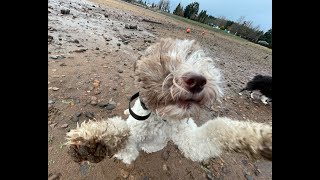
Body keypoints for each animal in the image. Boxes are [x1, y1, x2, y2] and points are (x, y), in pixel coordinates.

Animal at [66, 37, 272, 165]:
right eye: (164, 61)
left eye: (199, 58)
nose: (197, 81)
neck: (164, 119)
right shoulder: (133, 139)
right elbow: (122, 137)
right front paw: (92, 142)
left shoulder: (191, 139)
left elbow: (217, 128)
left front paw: (260, 137)